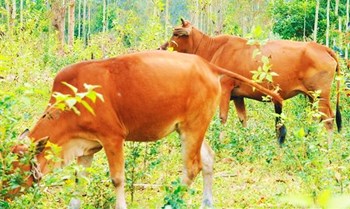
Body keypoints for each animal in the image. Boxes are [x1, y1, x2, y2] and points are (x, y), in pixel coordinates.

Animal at [9, 49, 284, 208]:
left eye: (15, 170)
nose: (6, 194)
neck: (72, 104)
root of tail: (208, 65)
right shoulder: (86, 147)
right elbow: (79, 181)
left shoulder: (113, 138)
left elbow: (117, 179)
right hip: (192, 127)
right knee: (208, 159)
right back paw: (207, 203)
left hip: (192, 127)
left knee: (192, 167)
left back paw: (170, 203)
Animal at [161, 18, 342, 145]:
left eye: (176, 33)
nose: (161, 48)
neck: (214, 48)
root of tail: (322, 48)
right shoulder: (238, 95)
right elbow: (243, 119)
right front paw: (247, 139)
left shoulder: (225, 89)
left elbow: (222, 118)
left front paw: (221, 142)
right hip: (312, 97)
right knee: (316, 118)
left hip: (321, 96)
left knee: (328, 119)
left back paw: (328, 148)